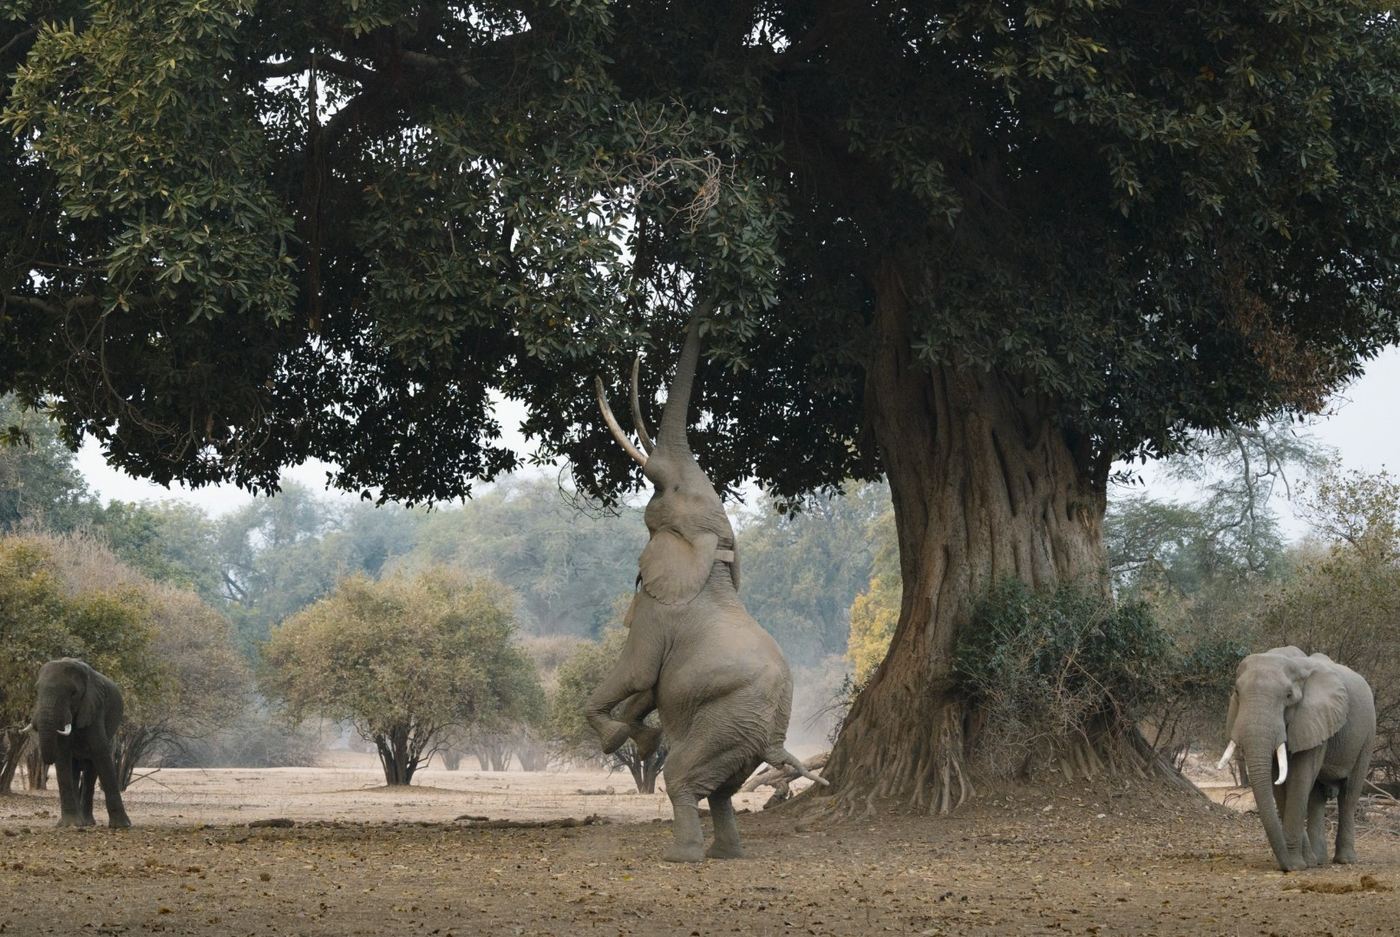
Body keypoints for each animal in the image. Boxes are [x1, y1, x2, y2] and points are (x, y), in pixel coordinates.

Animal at [23, 658, 131, 828]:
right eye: (36, 690)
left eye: (73, 693)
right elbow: (62, 757)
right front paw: (69, 824)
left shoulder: (94, 707)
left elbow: (100, 752)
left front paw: (122, 826)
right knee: (74, 770)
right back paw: (79, 822)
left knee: (90, 773)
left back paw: (87, 822)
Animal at [585, 311, 824, 862]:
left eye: (664, 489)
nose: (708, 311)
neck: (713, 555)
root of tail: (775, 740)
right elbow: (647, 688)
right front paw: (636, 735)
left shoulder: (659, 606)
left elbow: (637, 671)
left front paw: (616, 736)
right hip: (740, 731)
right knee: (721, 788)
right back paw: (725, 854)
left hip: (728, 718)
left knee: (684, 777)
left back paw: (684, 855)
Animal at [1217, 646, 1374, 871]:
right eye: (1237, 692)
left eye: (1289, 696)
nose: (1287, 867)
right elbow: (1278, 783)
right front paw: (1303, 862)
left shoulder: (1314, 718)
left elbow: (1299, 779)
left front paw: (1297, 864)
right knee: (1317, 798)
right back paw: (1318, 860)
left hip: (1367, 736)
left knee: (1349, 794)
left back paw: (1345, 860)